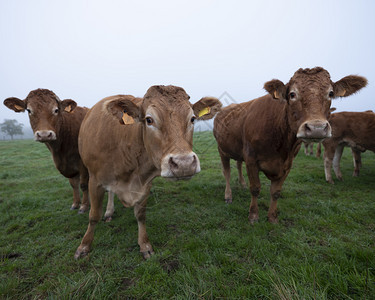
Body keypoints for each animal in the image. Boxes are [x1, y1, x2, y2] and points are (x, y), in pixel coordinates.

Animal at [74, 84, 222, 258]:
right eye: (149, 120)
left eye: (192, 118)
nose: (184, 164)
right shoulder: (95, 180)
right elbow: (93, 216)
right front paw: (84, 246)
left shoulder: (145, 183)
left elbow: (140, 214)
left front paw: (144, 244)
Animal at [214, 67, 368, 223]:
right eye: (292, 94)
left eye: (330, 93)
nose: (316, 128)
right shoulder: (251, 159)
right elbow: (255, 188)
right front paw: (253, 216)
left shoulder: (287, 164)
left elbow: (276, 192)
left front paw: (272, 217)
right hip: (222, 150)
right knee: (227, 172)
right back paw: (228, 196)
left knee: (238, 164)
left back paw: (242, 184)